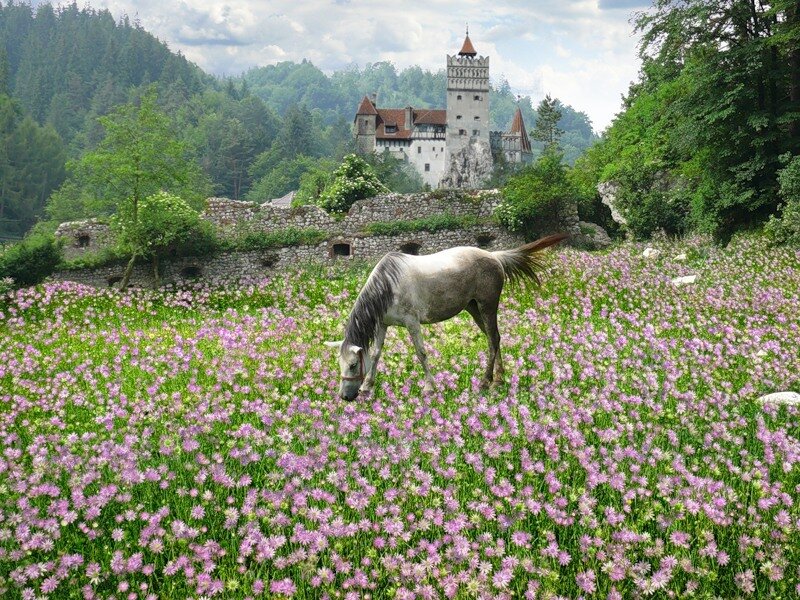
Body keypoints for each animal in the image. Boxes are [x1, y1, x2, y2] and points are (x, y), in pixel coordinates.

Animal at [325, 233, 567, 400]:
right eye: (340, 364)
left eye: (353, 365)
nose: (345, 397)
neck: (388, 285)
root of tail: (494, 256)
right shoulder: (383, 324)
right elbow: (376, 354)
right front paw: (368, 386)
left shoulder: (412, 323)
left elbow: (421, 353)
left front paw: (430, 387)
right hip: (474, 309)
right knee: (494, 339)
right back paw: (499, 380)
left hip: (487, 307)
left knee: (493, 339)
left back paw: (485, 382)